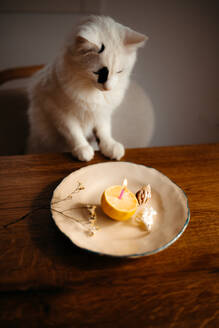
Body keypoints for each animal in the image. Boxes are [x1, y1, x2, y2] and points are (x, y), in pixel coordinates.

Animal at [27, 15, 147, 161]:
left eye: (119, 71)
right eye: (97, 73)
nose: (108, 88)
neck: (93, 92)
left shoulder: (102, 113)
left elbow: (103, 131)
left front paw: (109, 146)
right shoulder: (59, 111)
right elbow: (73, 132)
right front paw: (82, 149)